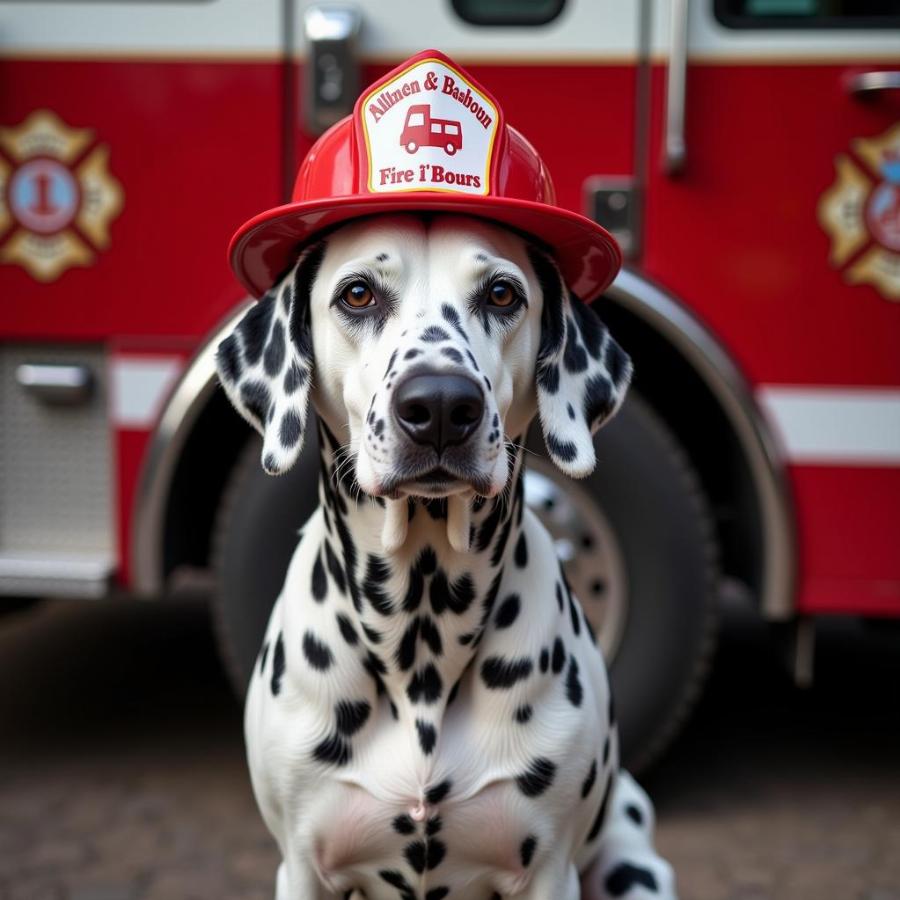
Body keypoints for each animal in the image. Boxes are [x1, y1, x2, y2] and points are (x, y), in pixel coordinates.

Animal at [216, 213, 676, 900]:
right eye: (357, 294)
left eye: (502, 294)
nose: (438, 405)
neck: (421, 639)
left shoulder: (549, 872)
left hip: (632, 864)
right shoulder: (301, 868)